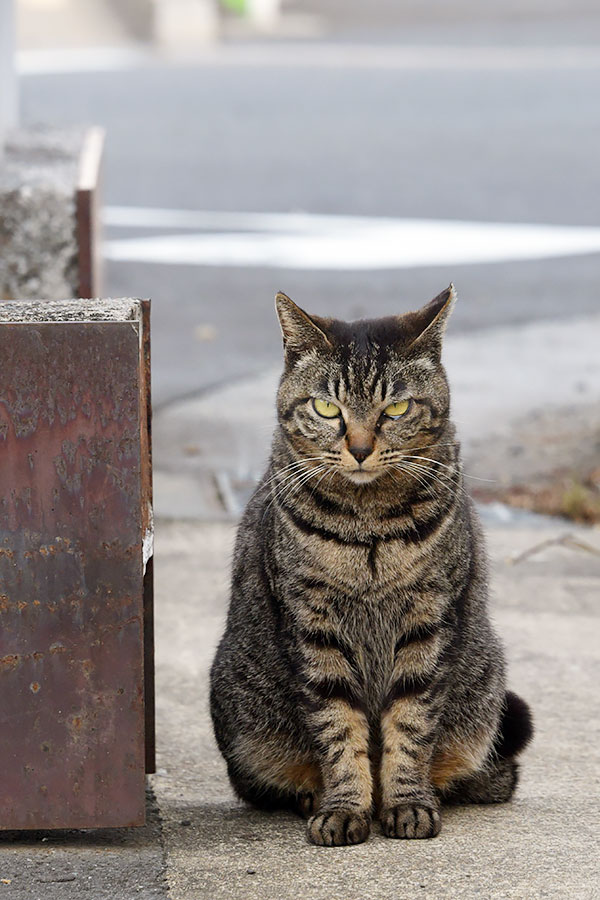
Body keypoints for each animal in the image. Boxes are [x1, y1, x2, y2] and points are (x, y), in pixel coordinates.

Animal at [209, 286, 532, 844]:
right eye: (326, 407)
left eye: (396, 408)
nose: (359, 449)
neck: (369, 530)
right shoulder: (313, 626)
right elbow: (339, 728)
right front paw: (345, 807)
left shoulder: (428, 621)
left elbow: (411, 723)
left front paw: (406, 802)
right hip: (239, 707)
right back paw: (310, 794)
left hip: (484, 689)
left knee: (497, 772)